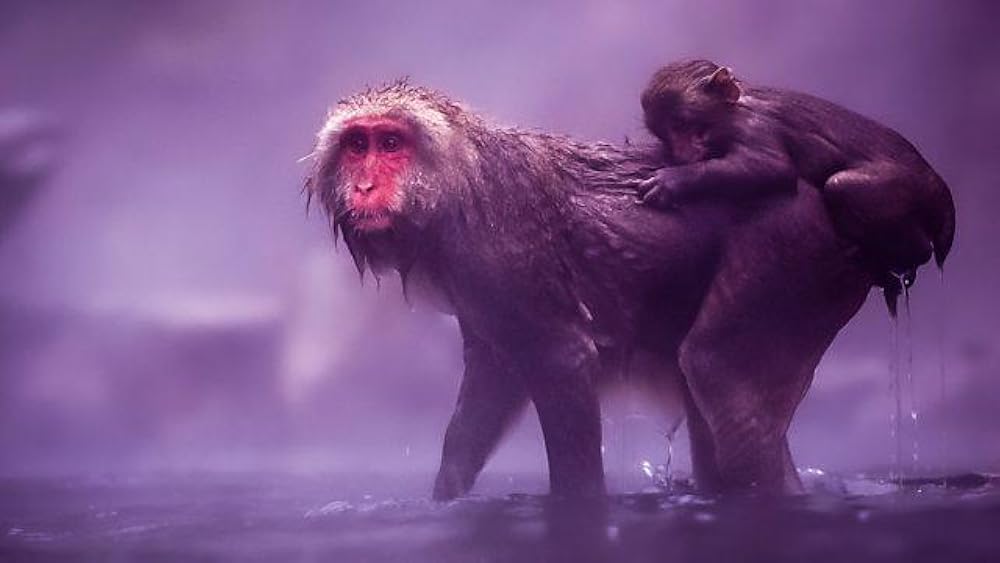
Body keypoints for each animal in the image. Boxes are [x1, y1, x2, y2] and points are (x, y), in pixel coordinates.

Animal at [637, 59, 956, 313]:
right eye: (665, 133)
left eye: (681, 124)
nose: (681, 153)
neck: (738, 104)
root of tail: (938, 186)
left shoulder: (751, 127)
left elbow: (772, 167)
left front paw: (672, 180)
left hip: (911, 188)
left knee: (843, 187)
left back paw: (908, 254)